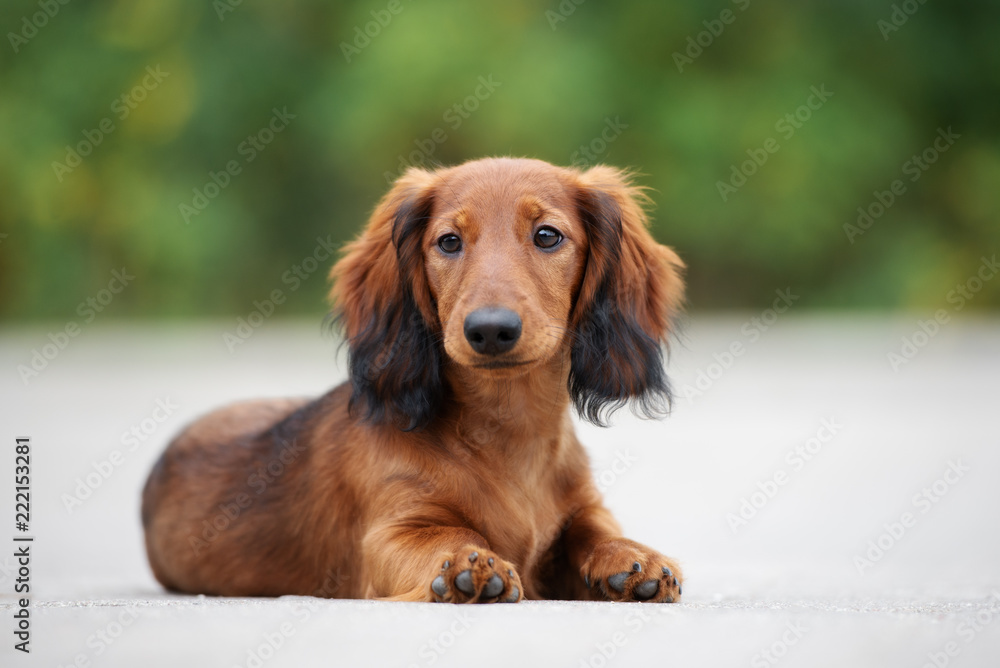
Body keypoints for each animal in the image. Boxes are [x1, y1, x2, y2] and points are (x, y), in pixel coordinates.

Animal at [141, 158, 684, 604]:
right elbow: (444, 537)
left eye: (548, 236)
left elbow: (596, 530)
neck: (508, 429)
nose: (490, 330)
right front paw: (469, 563)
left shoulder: (584, 509)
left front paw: (632, 557)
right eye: (449, 241)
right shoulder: (389, 535)